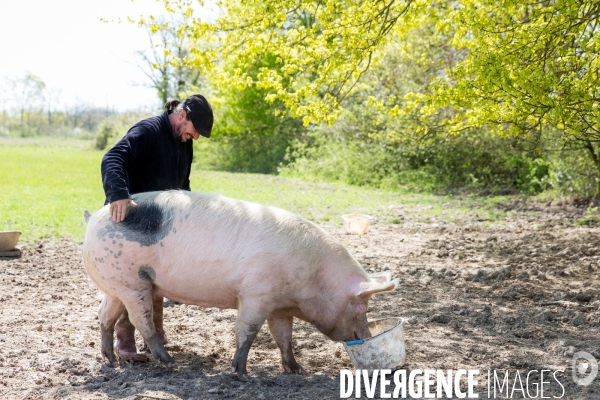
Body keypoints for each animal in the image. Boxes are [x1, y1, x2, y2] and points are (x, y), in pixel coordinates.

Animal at [81, 190, 398, 378]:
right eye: (361, 307)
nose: (366, 335)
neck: (313, 279)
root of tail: (93, 218)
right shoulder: (257, 294)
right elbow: (247, 331)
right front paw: (242, 373)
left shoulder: (279, 306)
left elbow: (284, 337)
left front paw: (297, 371)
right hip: (134, 284)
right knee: (141, 321)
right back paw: (169, 363)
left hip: (115, 284)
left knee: (104, 315)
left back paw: (111, 361)